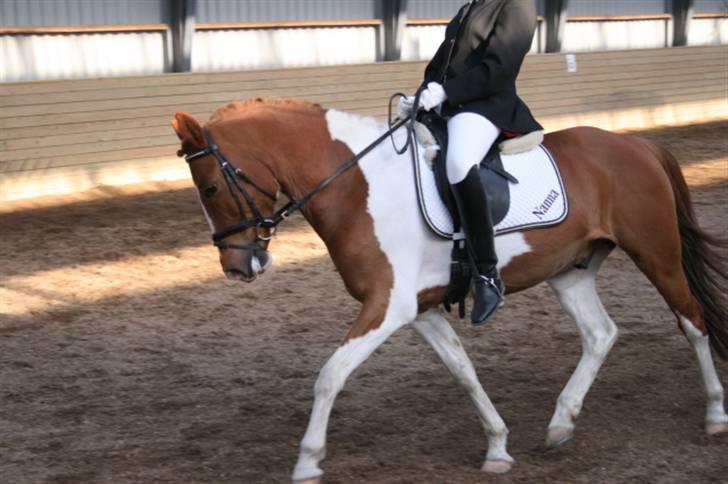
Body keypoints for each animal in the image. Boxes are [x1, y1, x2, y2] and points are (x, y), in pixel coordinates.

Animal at [169, 99, 724, 484]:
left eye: (211, 188)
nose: (236, 267)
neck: (357, 187)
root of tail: (637, 145)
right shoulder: (420, 310)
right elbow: (463, 370)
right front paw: (498, 447)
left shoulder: (387, 307)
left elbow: (330, 376)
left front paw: (307, 461)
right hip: (570, 271)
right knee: (601, 334)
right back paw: (561, 423)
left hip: (656, 253)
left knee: (692, 321)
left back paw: (716, 414)